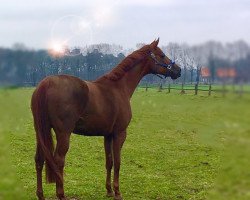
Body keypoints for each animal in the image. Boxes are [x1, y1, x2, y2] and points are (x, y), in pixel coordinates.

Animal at [31, 39, 181, 200]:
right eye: (162, 55)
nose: (178, 70)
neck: (119, 87)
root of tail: (46, 83)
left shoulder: (107, 135)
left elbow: (109, 162)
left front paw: (109, 190)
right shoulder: (120, 133)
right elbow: (118, 162)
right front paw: (117, 192)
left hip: (41, 131)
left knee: (39, 159)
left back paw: (40, 194)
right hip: (63, 134)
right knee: (58, 160)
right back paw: (61, 195)